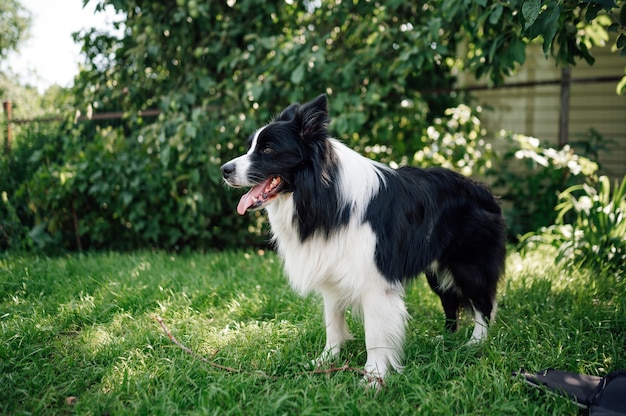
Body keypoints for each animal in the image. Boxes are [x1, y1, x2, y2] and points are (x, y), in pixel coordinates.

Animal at [219, 94, 502, 384]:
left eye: (267, 149)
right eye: (251, 147)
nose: (224, 170)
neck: (324, 194)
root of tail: (481, 189)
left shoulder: (375, 282)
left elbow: (375, 336)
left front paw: (374, 377)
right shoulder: (331, 271)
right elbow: (332, 323)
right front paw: (326, 361)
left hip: (467, 263)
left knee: (483, 302)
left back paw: (475, 343)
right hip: (436, 269)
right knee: (450, 300)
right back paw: (446, 338)